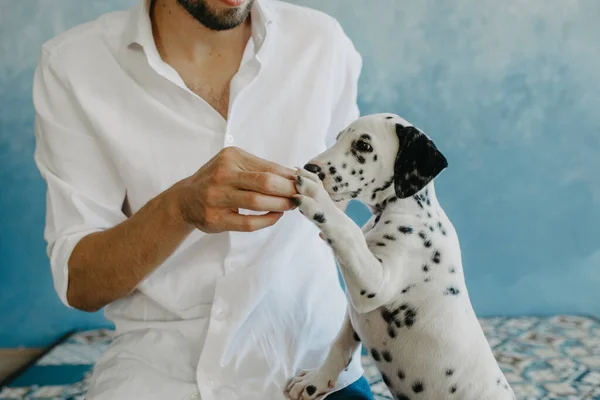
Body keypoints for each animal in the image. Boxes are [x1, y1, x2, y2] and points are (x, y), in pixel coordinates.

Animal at [284, 114, 512, 398]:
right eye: (338, 138)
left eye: (363, 145)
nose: (311, 167)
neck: (404, 209)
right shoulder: (354, 310)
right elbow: (340, 344)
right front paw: (317, 380)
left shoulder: (375, 285)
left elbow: (347, 231)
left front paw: (318, 198)